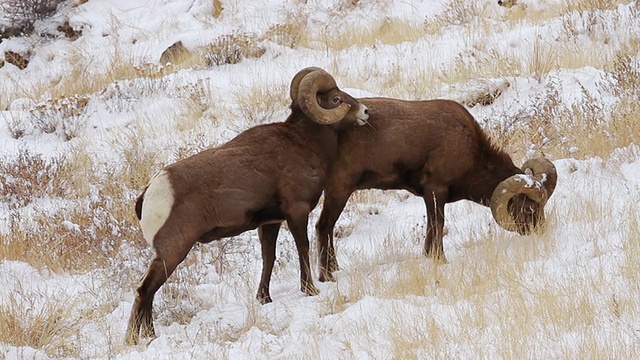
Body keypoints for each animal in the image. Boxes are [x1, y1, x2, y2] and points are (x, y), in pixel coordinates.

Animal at [125, 66, 368, 344]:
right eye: (336, 99)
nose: (365, 112)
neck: (303, 144)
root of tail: (150, 193)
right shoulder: (297, 212)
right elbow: (303, 248)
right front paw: (310, 290)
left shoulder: (271, 223)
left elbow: (268, 258)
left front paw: (264, 299)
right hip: (172, 252)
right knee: (145, 291)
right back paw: (140, 339)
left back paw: (145, 337)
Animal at [316, 96, 556, 282]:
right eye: (529, 209)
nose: (540, 232)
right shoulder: (436, 190)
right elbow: (438, 224)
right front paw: (440, 259)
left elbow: (432, 227)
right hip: (339, 191)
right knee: (323, 227)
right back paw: (326, 276)